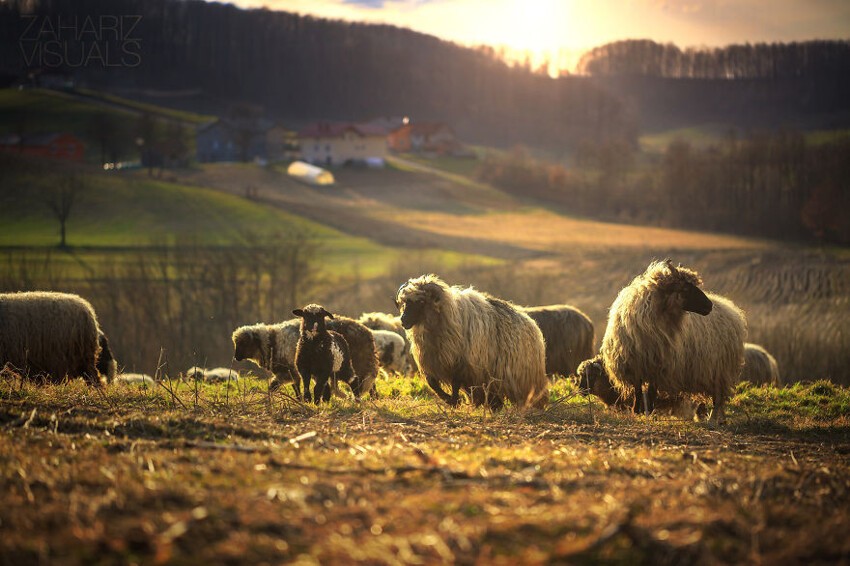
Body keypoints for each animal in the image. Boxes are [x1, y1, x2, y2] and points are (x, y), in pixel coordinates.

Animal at [232, 316, 378, 400]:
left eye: (244, 343)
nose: (236, 357)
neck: (272, 342)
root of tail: (367, 332)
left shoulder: (288, 370)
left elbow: (277, 386)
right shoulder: (291, 371)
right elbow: (293, 385)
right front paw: (300, 400)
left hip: (357, 362)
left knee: (363, 381)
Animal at [394, 274, 548, 410]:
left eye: (421, 302)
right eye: (405, 302)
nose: (403, 320)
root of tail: (532, 324)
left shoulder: (461, 363)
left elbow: (455, 384)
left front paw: (454, 401)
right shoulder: (434, 362)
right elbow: (432, 384)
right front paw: (450, 400)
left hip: (524, 379)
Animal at [596, 260, 744, 426]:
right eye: (685, 288)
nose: (709, 306)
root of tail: (731, 309)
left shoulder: (659, 365)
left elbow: (652, 391)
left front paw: (649, 412)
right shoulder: (636, 364)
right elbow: (638, 390)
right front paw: (636, 411)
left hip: (719, 369)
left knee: (718, 399)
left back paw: (713, 420)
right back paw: (720, 420)